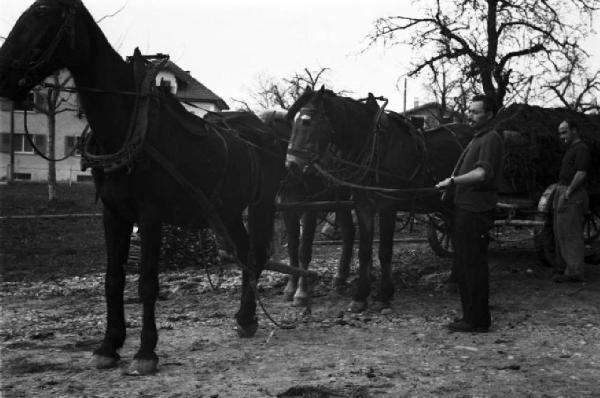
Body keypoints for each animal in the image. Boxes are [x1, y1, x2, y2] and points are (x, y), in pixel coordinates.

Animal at [0, 0, 308, 374]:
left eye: (45, 16)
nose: (3, 76)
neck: (128, 127)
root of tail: (268, 131)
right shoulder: (114, 214)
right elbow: (113, 279)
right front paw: (109, 345)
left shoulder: (150, 216)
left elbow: (147, 283)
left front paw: (146, 351)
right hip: (228, 208)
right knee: (246, 252)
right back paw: (244, 317)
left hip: (261, 205)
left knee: (255, 254)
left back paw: (248, 317)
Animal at [286, 88, 464, 312]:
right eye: (293, 123)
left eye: (307, 122)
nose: (291, 165)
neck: (375, 146)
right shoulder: (363, 206)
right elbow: (364, 251)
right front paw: (360, 296)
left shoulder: (388, 205)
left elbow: (385, 251)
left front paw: (384, 294)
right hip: (445, 204)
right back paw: (454, 279)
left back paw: (454, 279)